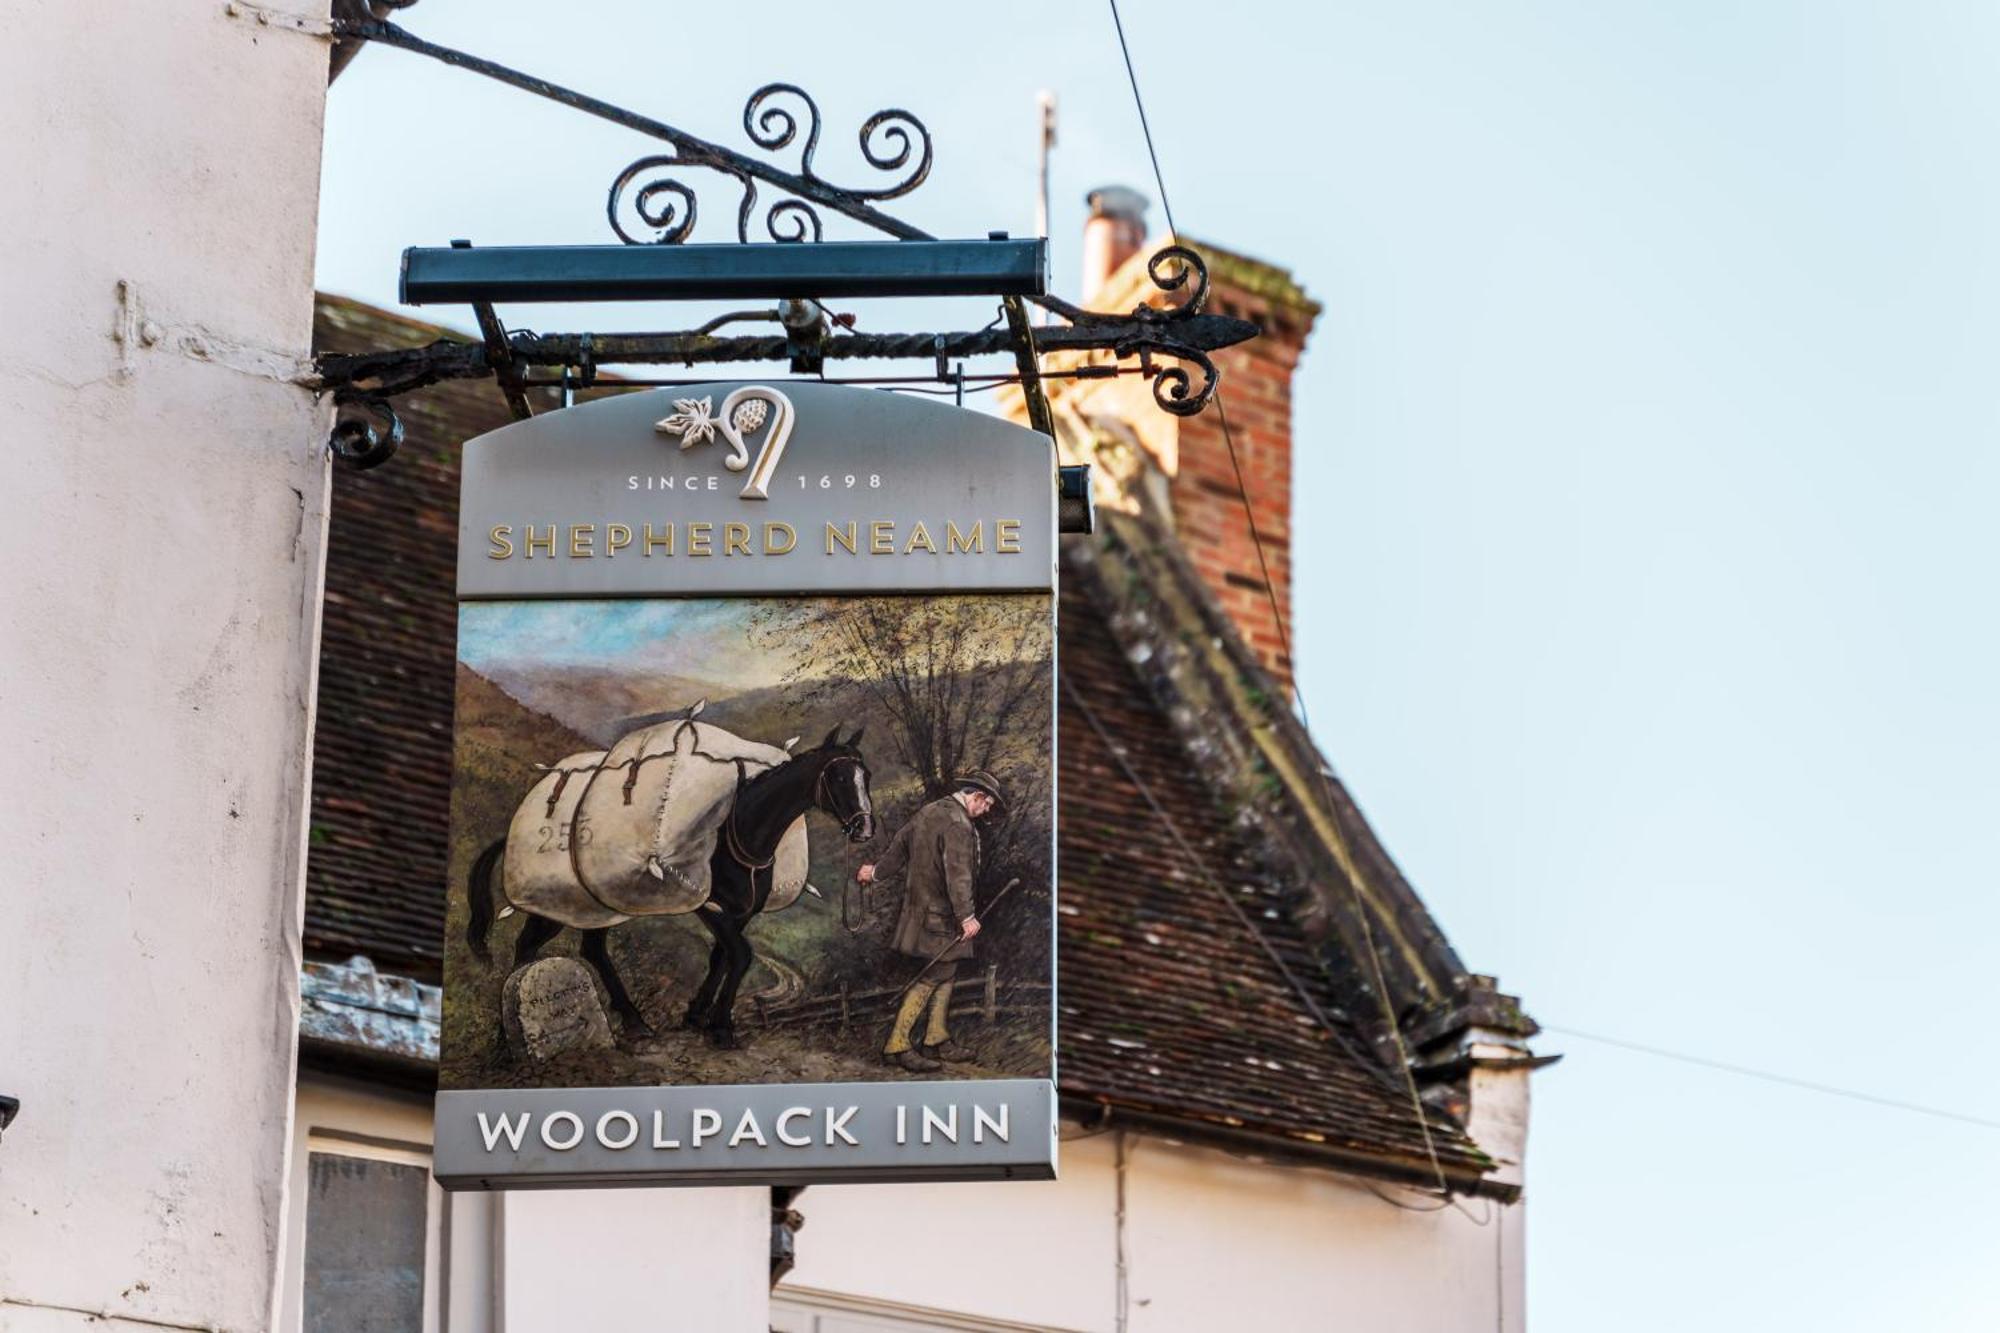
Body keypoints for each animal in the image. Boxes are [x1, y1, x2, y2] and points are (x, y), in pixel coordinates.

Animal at [472, 728, 880, 1048]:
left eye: (867, 775)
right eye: (839, 778)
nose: (864, 829)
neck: (738, 831)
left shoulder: (739, 913)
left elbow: (722, 958)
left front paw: (697, 1015)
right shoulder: (710, 908)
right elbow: (741, 955)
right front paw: (721, 1027)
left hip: (594, 907)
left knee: (589, 950)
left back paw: (633, 1022)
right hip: (555, 907)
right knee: (527, 947)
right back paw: (509, 1034)